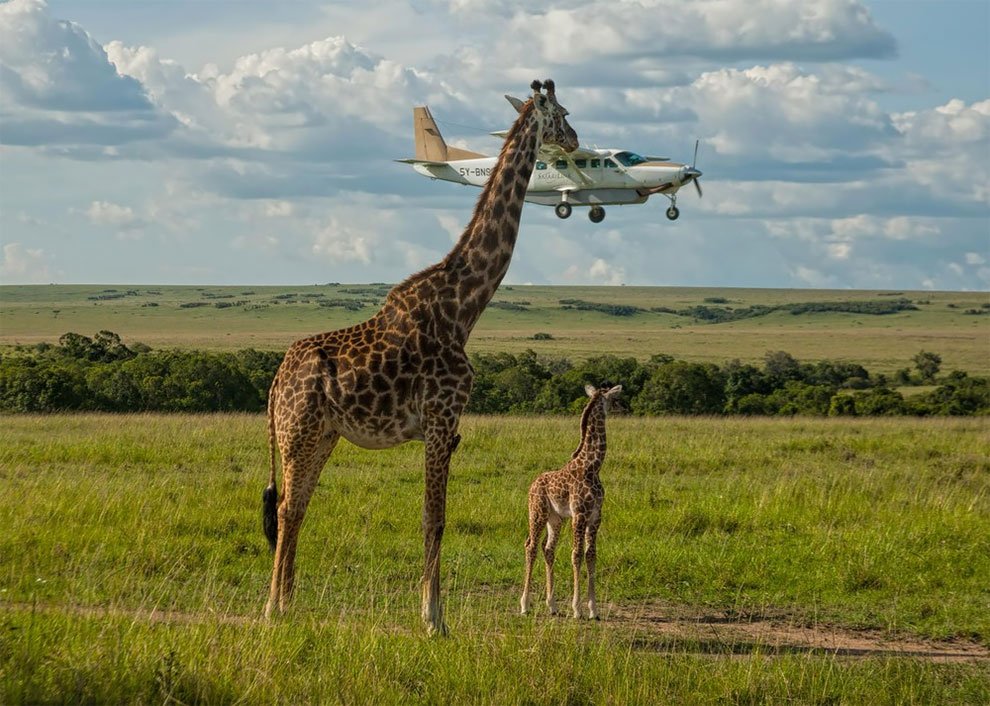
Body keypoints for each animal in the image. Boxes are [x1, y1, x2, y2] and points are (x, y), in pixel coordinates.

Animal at [264, 78, 580, 632]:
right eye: (560, 113)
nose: (576, 139)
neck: (464, 307)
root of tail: (276, 381)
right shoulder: (439, 417)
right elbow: (435, 518)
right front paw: (434, 619)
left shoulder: (447, 427)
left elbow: (434, 518)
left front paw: (432, 613)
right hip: (295, 431)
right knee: (284, 508)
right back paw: (271, 608)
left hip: (322, 434)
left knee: (296, 506)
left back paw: (288, 604)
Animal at [520, 382, 620, 620]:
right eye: (613, 398)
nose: (622, 407)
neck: (593, 467)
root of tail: (532, 485)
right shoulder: (579, 515)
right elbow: (576, 554)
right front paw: (577, 609)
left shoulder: (595, 517)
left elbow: (591, 555)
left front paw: (594, 609)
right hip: (537, 513)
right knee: (531, 546)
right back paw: (525, 605)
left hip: (556, 519)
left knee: (548, 549)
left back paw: (552, 606)